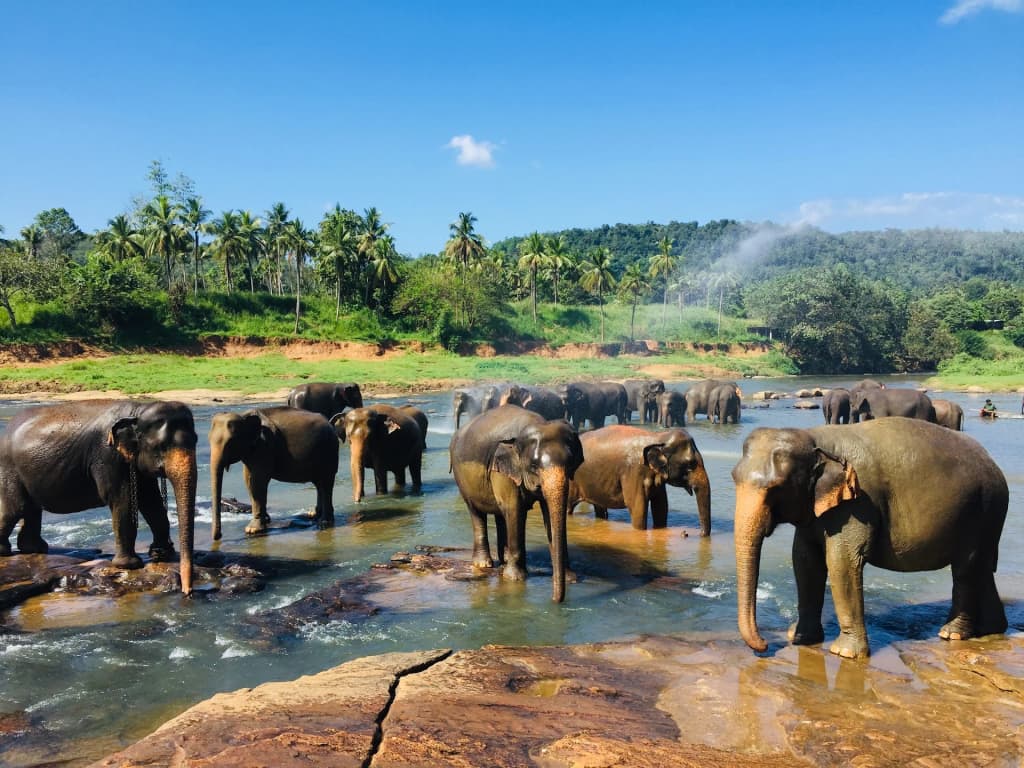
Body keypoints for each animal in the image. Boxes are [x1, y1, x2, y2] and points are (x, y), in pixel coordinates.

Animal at [0, 400, 198, 594]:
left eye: (196, 440)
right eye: (161, 447)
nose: (187, 591)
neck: (138, 410)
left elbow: (151, 501)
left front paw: (161, 554)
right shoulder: (108, 456)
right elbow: (122, 501)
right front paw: (129, 565)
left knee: (30, 508)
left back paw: (35, 549)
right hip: (9, 468)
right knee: (15, 509)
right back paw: (6, 552)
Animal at [210, 406, 338, 538]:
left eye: (230, 443)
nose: (219, 536)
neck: (244, 416)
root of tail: (330, 423)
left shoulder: (264, 447)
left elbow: (257, 481)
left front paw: (252, 530)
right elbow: (249, 480)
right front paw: (265, 521)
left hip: (329, 451)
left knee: (326, 484)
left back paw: (324, 523)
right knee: (319, 484)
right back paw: (313, 514)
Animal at [449, 404, 584, 602]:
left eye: (569, 463)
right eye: (534, 466)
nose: (554, 600)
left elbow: (546, 513)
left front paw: (570, 578)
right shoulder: (502, 470)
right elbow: (514, 509)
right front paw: (515, 578)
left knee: (500, 514)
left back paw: (503, 560)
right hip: (462, 480)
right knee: (477, 513)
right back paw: (484, 564)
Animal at [569, 425, 711, 535]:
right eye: (690, 464)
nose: (688, 534)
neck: (658, 437)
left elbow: (661, 506)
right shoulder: (634, 472)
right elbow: (638, 508)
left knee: (599, 507)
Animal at [732, 418, 1008, 659]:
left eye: (775, 488)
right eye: (734, 477)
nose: (766, 644)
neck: (814, 438)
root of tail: (994, 464)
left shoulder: (858, 503)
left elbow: (841, 562)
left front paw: (844, 653)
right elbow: (805, 561)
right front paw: (800, 638)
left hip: (981, 510)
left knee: (965, 569)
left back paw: (952, 634)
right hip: (988, 516)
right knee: (982, 568)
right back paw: (993, 629)